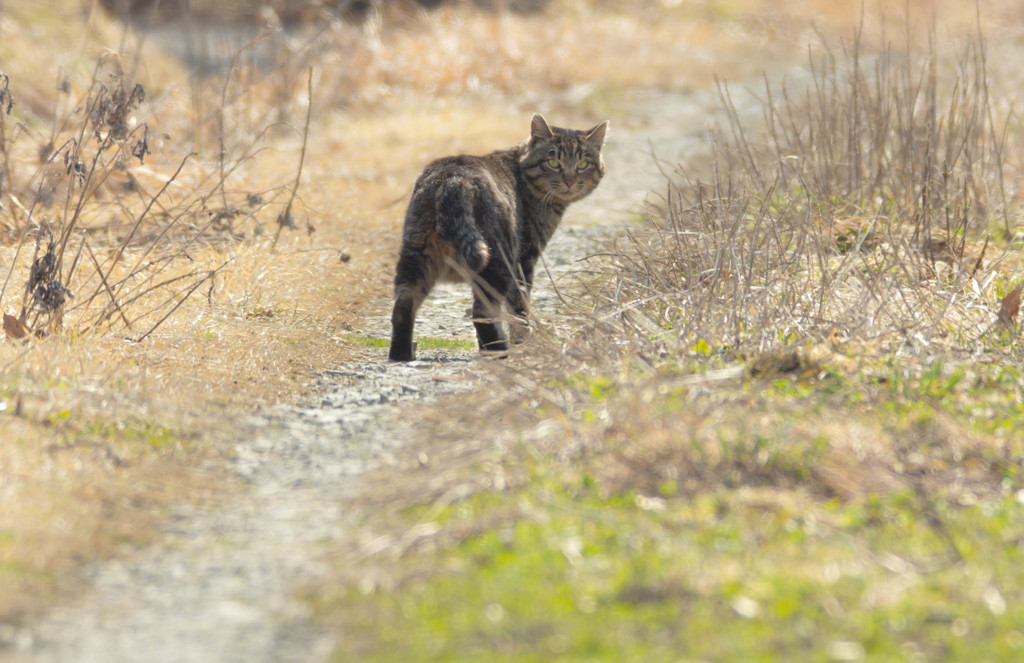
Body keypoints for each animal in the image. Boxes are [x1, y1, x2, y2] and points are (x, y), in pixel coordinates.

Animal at [387, 114, 602, 362]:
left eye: (582, 165)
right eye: (553, 163)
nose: (569, 180)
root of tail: (452, 177)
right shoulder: (525, 259)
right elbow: (520, 309)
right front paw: (523, 342)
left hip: (416, 255)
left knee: (403, 304)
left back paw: (402, 353)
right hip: (498, 259)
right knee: (482, 311)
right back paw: (499, 349)